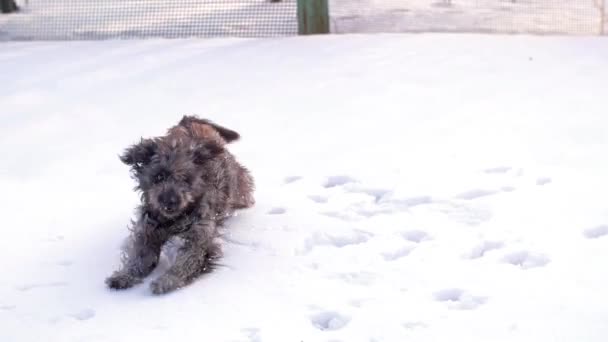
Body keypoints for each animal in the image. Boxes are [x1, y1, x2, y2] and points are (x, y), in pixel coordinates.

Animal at [105, 115, 253, 294]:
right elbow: (139, 257)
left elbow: (188, 260)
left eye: (185, 178)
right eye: (159, 176)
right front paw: (124, 276)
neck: (173, 220)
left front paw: (167, 280)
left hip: (236, 185)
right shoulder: (148, 230)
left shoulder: (199, 235)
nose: (170, 201)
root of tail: (189, 121)